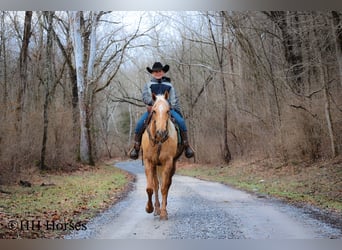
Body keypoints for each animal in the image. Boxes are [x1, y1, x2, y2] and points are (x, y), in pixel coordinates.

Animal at [141, 91, 184, 220]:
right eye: (154, 111)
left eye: (168, 110)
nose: (161, 132)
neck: (159, 140)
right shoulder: (148, 162)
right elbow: (150, 188)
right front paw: (149, 208)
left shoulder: (168, 162)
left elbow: (164, 187)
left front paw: (164, 212)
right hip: (156, 165)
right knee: (155, 185)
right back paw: (156, 209)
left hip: (170, 165)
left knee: (167, 184)